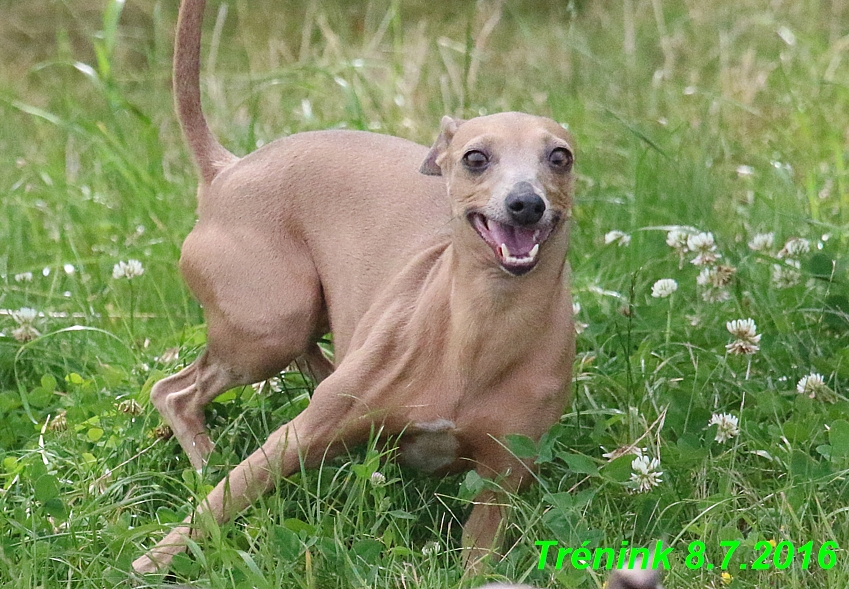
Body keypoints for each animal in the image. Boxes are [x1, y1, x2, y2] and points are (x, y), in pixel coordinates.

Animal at [131, 0, 576, 572]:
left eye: (560, 156)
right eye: (476, 157)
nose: (526, 203)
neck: (483, 328)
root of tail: (228, 169)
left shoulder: (502, 477)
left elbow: (477, 561)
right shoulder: (296, 436)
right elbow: (214, 508)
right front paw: (144, 565)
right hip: (269, 329)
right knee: (175, 392)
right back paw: (206, 460)